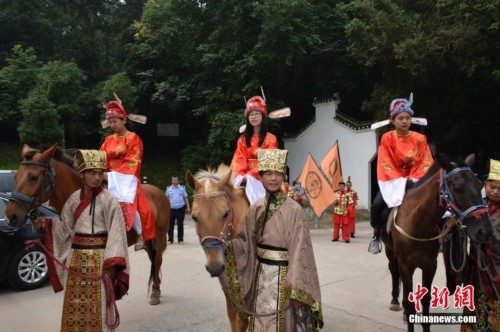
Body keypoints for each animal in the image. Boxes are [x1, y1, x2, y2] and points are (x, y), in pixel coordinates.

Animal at [4, 144, 170, 304]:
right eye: (15, 176)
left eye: (34, 177)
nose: (11, 216)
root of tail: (160, 192)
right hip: (149, 239)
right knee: (154, 261)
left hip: (160, 235)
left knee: (158, 260)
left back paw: (155, 293)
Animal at [186, 165, 250, 332]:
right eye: (194, 217)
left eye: (226, 213)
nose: (214, 267)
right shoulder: (226, 284)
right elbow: (233, 317)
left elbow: (244, 320)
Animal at [378, 156, 492, 332]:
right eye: (457, 187)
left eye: (480, 185)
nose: (484, 231)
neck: (418, 223)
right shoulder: (406, 265)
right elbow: (410, 303)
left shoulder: (430, 265)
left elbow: (425, 301)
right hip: (391, 252)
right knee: (394, 270)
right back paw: (395, 302)